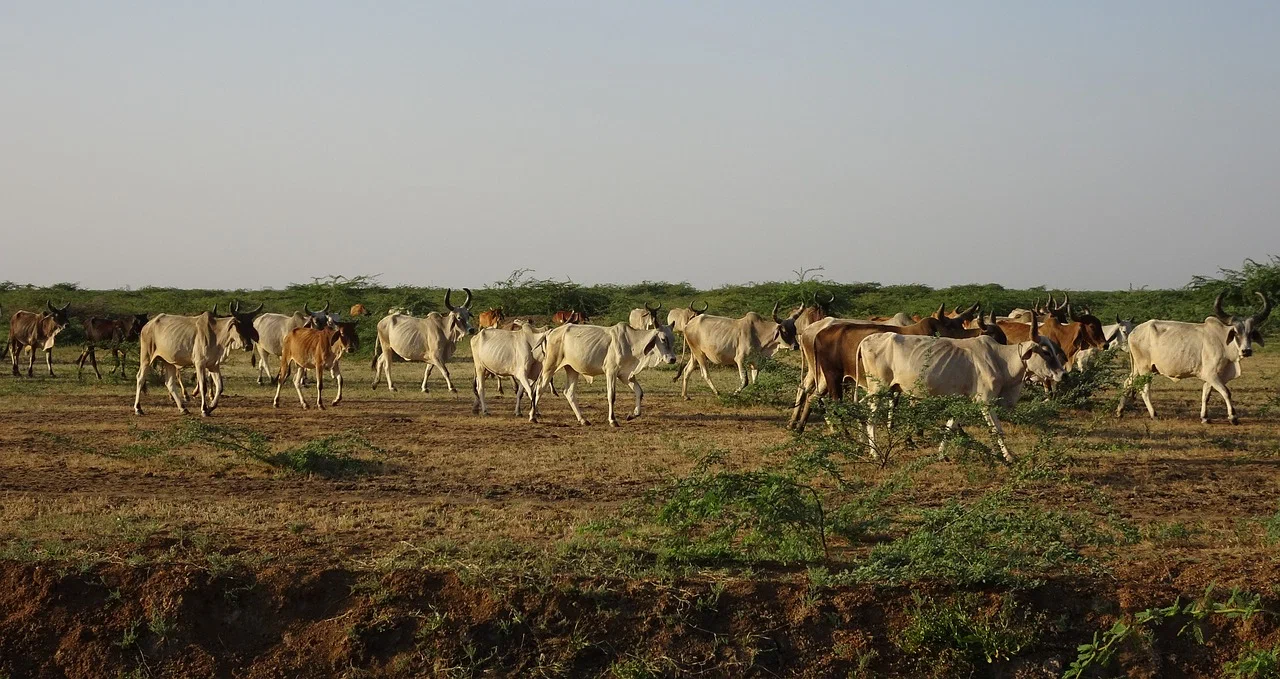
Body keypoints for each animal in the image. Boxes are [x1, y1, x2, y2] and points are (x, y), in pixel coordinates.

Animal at [540, 321, 680, 425]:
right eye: (663, 339)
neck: (631, 343)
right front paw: (613, 420)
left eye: (673, 339)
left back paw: (583, 420)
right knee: (540, 386)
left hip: (572, 369)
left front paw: (632, 414)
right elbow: (611, 396)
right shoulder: (611, 372)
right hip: (550, 365)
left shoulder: (626, 375)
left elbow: (639, 392)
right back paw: (535, 416)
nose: (673, 359)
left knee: (568, 392)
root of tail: (551, 331)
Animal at [1116, 290, 1264, 422]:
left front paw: (1204, 417)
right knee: (1145, 390)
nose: (1246, 351)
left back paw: (1120, 411)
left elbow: (1206, 394)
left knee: (1128, 382)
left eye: (1251, 333)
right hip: (1145, 369)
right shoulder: (1211, 374)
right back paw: (1154, 415)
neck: (1223, 341)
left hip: (1138, 368)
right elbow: (1226, 392)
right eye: (1236, 333)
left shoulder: (1212, 376)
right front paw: (1233, 417)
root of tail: (1133, 332)